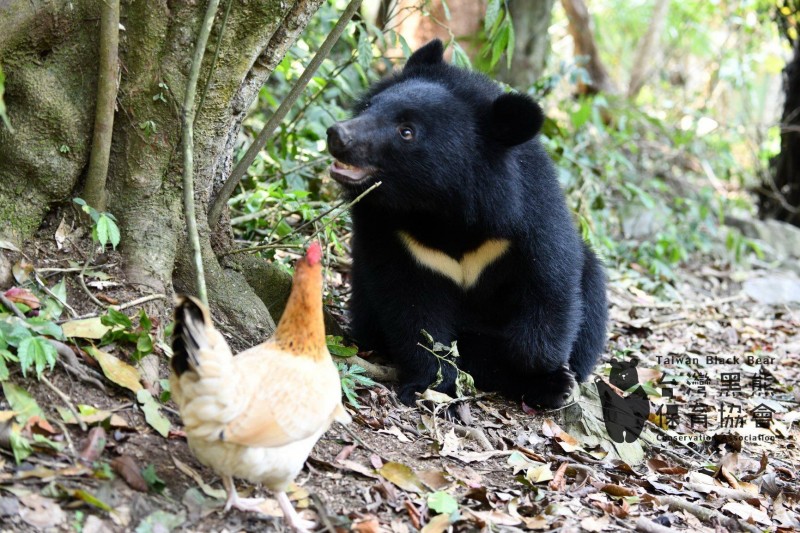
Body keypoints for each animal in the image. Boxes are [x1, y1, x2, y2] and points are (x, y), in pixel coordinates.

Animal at [324, 39, 608, 408]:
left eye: (406, 132)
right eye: (369, 106)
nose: (337, 135)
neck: (441, 210)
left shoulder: (528, 213)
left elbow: (550, 283)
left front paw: (536, 367)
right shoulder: (393, 235)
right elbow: (411, 308)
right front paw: (431, 383)